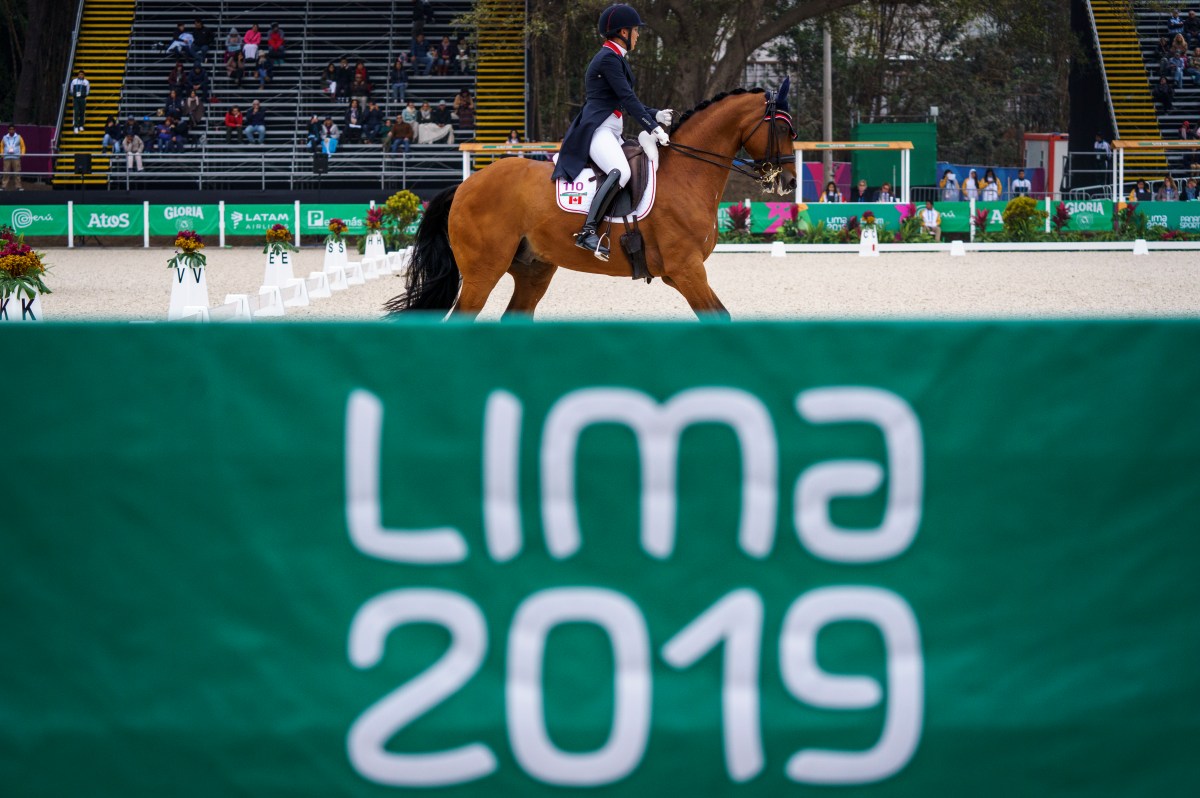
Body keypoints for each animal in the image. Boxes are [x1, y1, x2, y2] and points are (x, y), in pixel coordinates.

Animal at [384, 81, 796, 316]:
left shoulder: (677, 273)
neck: (687, 171)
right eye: (781, 128)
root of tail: (465, 186)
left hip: (533, 271)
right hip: (483, 272)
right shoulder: (687, 269)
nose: (790, 181)